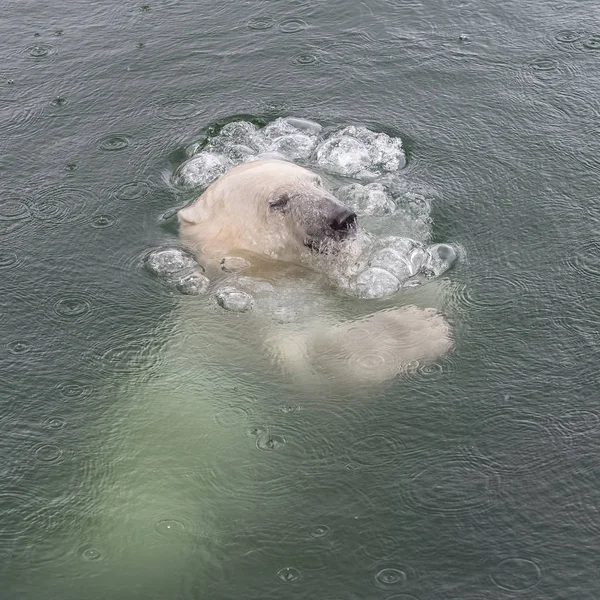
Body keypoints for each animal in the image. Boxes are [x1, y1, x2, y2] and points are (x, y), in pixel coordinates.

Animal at [177, 159, 450, 386]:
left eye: (316, 182)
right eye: (278, 201)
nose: (343, 218)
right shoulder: (251, 314)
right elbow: (312, 360)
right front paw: (417, 325)